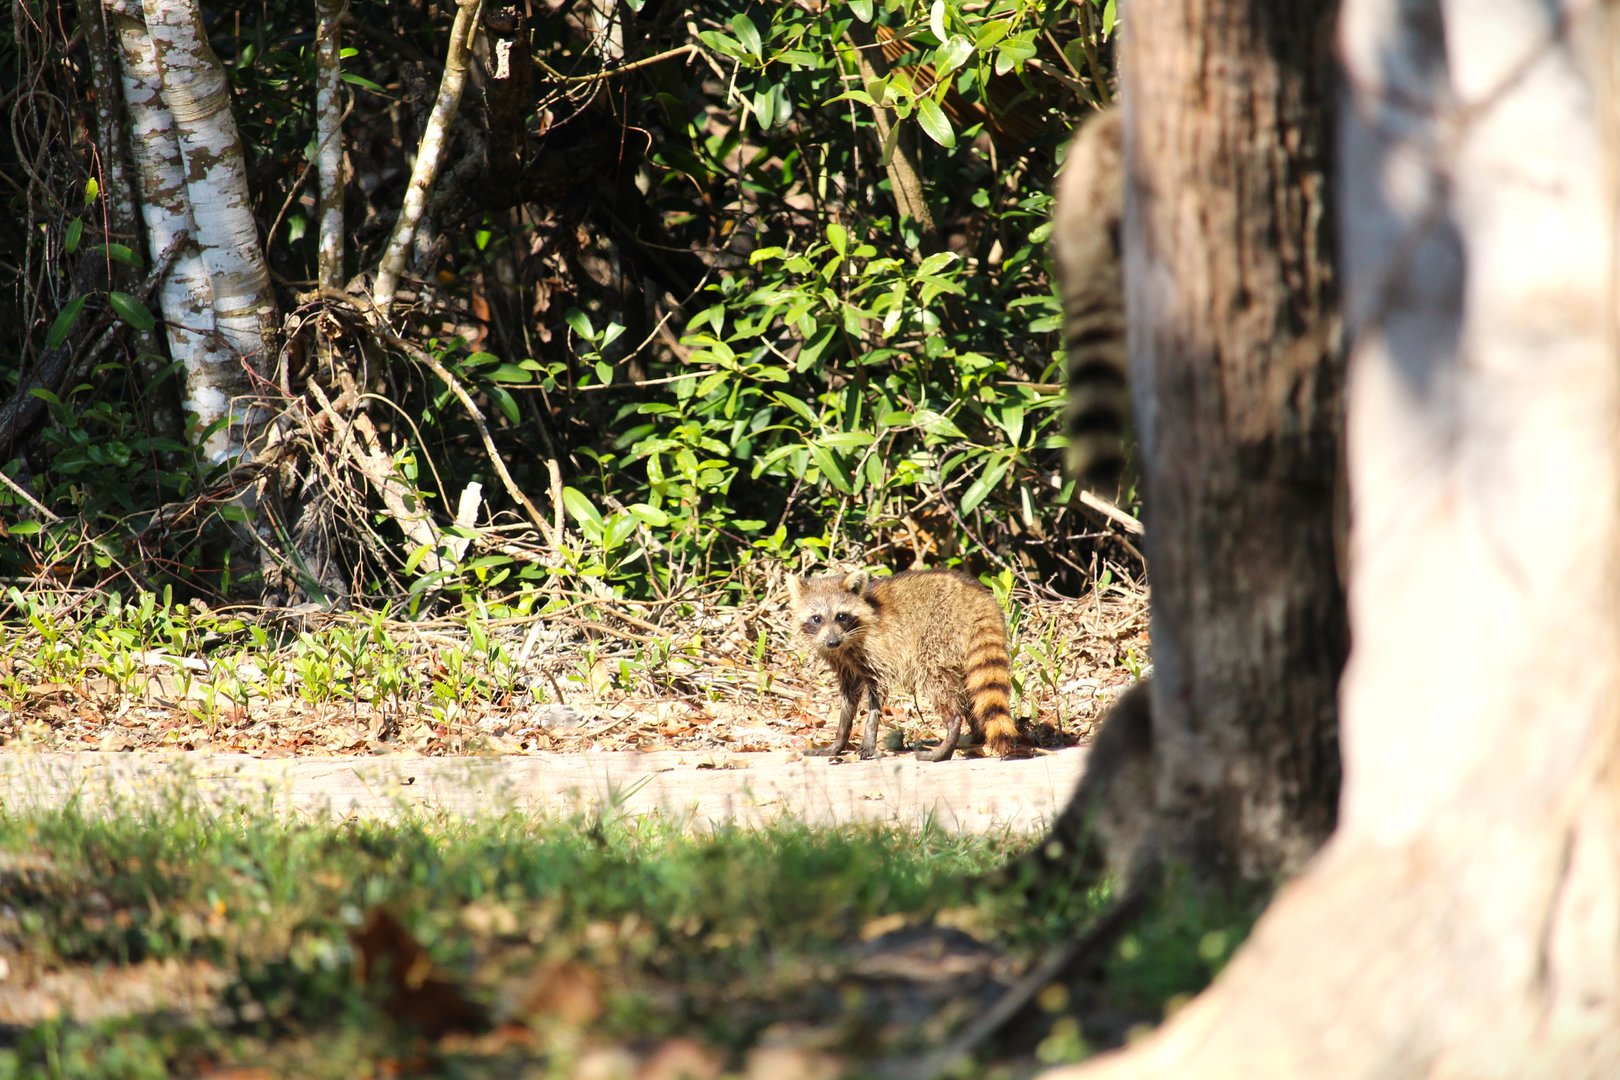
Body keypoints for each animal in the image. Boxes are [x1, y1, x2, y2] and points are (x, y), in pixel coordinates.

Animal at [786, 569, 1019, 762]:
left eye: (841, 616)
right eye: (816, 619)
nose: (832, 642)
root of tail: (980, 599)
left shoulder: (877, 650)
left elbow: (877, 693)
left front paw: (869, 735)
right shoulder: (844, 663)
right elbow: (848, 699)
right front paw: (838, 740)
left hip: (938, 634)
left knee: (934, 677)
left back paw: (950, 733)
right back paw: (974, 736)